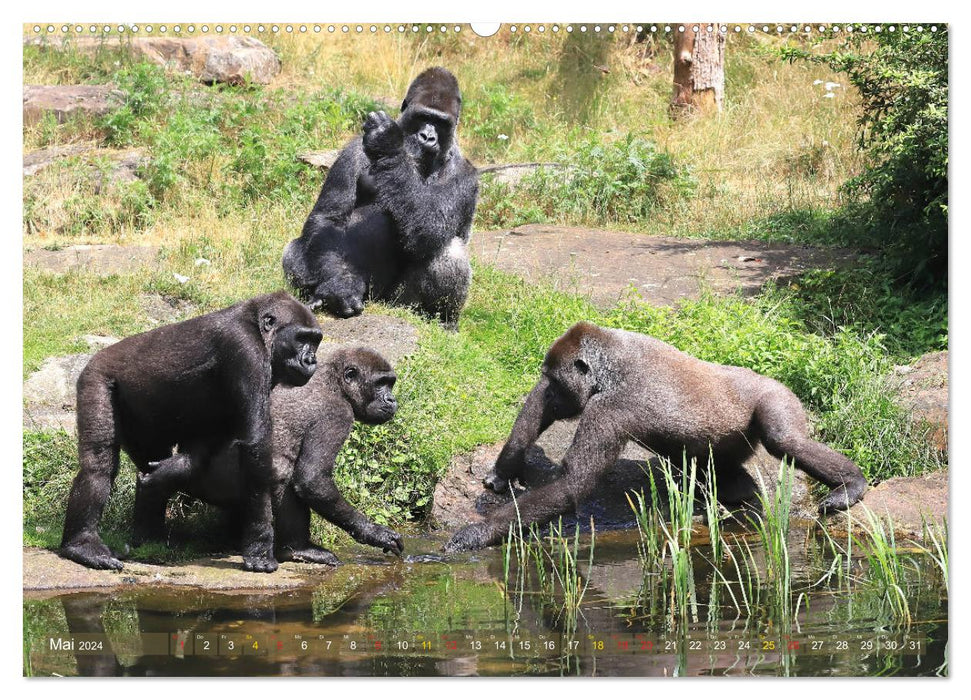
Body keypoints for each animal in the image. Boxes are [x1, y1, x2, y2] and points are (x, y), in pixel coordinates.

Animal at [60, 292, 322, 572]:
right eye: (301, 339)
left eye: (315, 341)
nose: (311, 360)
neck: (258, 327)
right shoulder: (246, 352)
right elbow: (256, 449)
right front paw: (260, 547)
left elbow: (212, 437)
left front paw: (176, 469)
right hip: (96, 376)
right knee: (98, 466)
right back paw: (82, 545)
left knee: (147, 457)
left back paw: (148, 534)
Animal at [133, 348, 402, 568]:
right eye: (381, 384)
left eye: (391, 383)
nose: (392, 400)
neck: (334, 382)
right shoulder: (336, 415)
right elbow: (312, 480)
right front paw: (375, 533)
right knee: (282, 474)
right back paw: (297, 549)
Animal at [280, 67, 478, 330]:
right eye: (422, 116)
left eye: (442, 123)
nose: (427, 137)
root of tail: (377, 300)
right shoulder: (353, 150)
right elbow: (328, 218)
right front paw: (341, 286)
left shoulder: (465, 175)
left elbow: (429, 225)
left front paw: (388, 143)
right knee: (298, 247)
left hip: (399, 303)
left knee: (449, 250)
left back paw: (444, 320)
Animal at [444, 322, 868, 552]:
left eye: (557, 381)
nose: (552, 391)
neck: (610, 362)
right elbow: (540, 411)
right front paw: (505, 467)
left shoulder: (610, 407)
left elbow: (572, 484)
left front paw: (476, 534)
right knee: (725, 476)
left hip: (776, 395)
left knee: (785, 441)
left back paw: (851, 484)